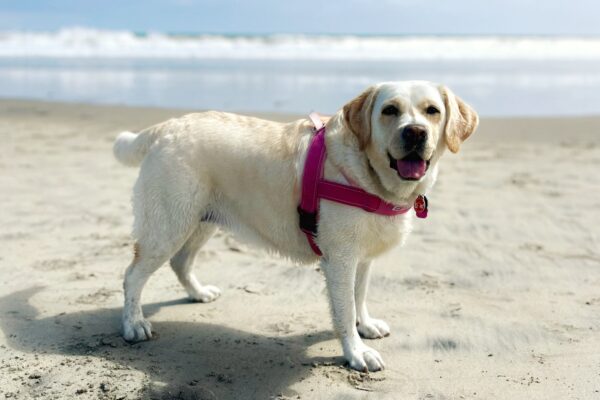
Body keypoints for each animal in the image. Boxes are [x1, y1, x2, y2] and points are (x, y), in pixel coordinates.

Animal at [112, 81, 478, 372]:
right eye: (390, 110)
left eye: (432, 111)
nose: (415, 132)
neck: (371, 177)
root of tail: (165, 127)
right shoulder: (340, 259)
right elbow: (344, 309)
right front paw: (356, 353)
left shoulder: (362, 258)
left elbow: (359, 296)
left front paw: (366, 325)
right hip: (168, 225)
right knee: (132, 275)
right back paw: (134, 324)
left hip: (201, 221)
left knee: (180, 262)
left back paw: (199, 293)